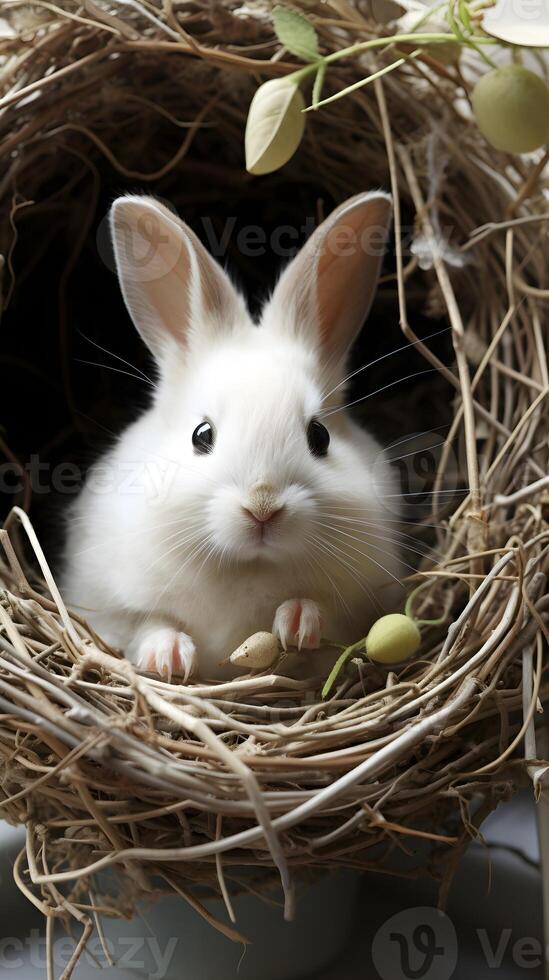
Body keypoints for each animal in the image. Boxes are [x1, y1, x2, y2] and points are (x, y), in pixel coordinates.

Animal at [62, 193, 400, 680]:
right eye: (201, 435)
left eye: (319, 436)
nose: (263, 507)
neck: (247, 567)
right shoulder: (105, 604)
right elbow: (147, 624)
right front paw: (169, 656)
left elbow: (324, 617)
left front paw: (298, 621)